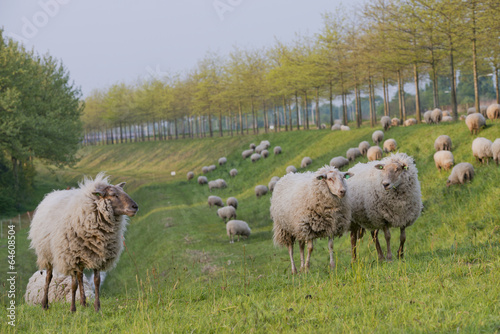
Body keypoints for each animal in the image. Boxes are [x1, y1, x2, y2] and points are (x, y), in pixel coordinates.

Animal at [29, 174, 139, 312]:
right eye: (114, 195)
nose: (135, 207)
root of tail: (51, 194)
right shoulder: (70, 257)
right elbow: (73, 284)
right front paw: (72, 309)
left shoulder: (98, 255)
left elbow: (96, 281)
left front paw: (97, 307)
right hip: (47, 253)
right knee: (49, 277)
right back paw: (45, 304)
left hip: (80, 255)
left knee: (80, 277)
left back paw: (83, 302)